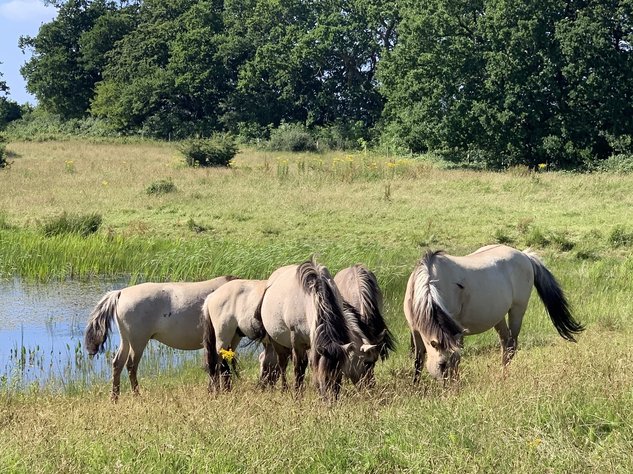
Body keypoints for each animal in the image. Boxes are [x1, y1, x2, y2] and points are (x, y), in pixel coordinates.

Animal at [82, 274, 233, 400]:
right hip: (138, 341)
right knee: (131, 365)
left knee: (117, 363)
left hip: (126, 340)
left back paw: (114, 398)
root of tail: (121, 293)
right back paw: (137, 395)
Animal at [256, 260, 376, 400]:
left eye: (339, 373)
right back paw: (284, 389)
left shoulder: (314, 341)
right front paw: (298, 395)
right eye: (366, 363)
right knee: (282, 364)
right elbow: (299, 367)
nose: (332, 399)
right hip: (277, 342)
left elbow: (313, 364)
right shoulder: (298, 340)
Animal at [402, 244, 584, 382]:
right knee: (505, 343)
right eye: (441, 364)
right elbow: (418, 361)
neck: (428, 285)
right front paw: (415, 388)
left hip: (517, 310)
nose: (450, 387)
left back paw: (504, 376)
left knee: (511, 345)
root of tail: (524, 256)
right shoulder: (416, 331)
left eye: (450, 362)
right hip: (499, 318)